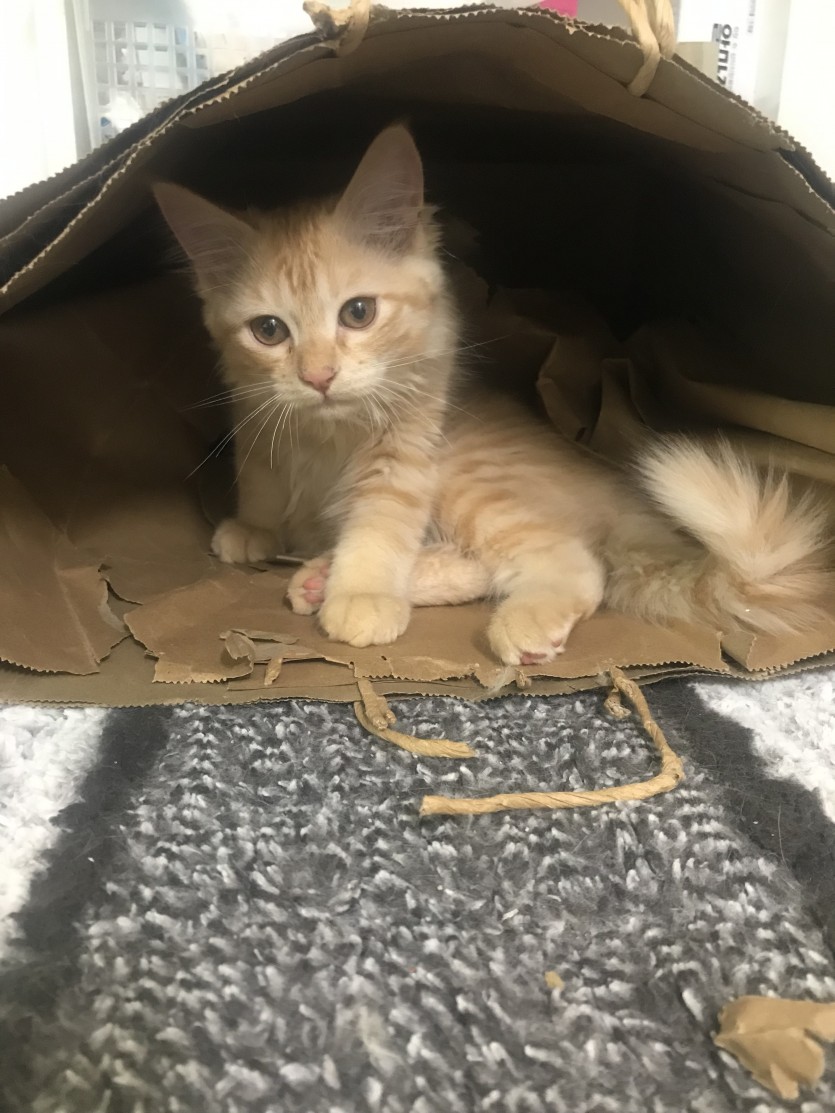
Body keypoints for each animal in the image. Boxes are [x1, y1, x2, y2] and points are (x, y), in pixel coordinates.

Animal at [154, 125, 831, 666]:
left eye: (358, 313)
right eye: (269, 331)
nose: (318, 377)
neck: (328, 432)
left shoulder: (409, 446)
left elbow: (379, 526)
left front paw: (363, 594)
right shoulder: (253, 410)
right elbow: (262, 471)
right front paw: (257, 526)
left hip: (473, 477)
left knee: (573, 563)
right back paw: (319, 578)